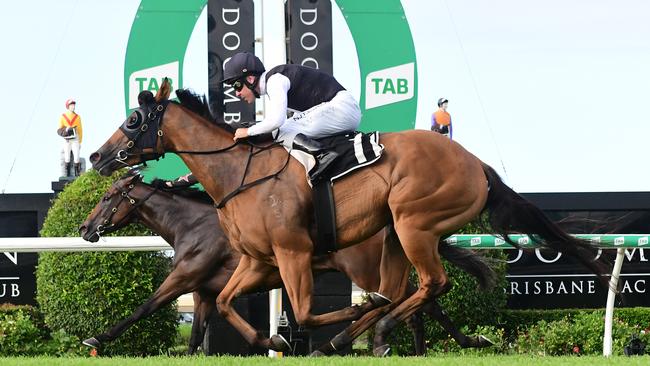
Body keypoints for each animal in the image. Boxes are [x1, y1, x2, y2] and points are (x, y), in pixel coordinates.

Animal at [79, 174, 496, 354]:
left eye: (107, 196)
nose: (84, 228)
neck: (192, 225)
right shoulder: (203, 292)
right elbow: (196, 335)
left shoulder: (183, 278)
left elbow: (144, 307)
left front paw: (96, 337)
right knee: (422, 305)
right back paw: (444, 344)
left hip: (364, 271)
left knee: (406, 301)